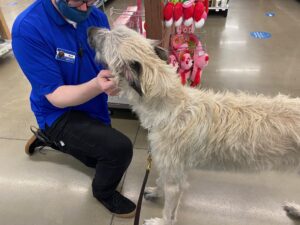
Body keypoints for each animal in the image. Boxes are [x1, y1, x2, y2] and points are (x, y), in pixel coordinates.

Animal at [89, 25, 300, 224]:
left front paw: (161, 221)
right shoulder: (172, 170)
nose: (90, 29)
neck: (172, 107)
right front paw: (156, 191)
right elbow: (160, 179)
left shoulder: (175, 182)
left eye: (106, 39)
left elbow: (169, 211)